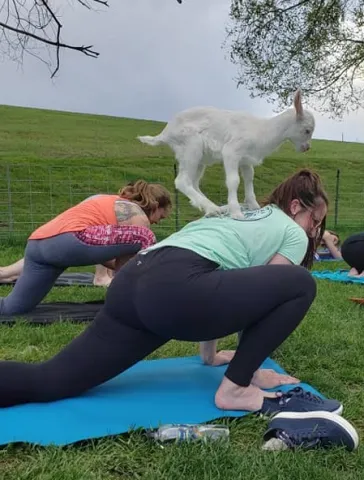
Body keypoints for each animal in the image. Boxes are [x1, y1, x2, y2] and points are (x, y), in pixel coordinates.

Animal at [138, 88, 314, 219]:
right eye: (307, 130)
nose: (306, 148)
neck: (261, 130)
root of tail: (165, 132)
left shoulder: (246, 159)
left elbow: (249, 178)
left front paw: (254, 205)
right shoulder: (232, 151)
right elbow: (233, 180)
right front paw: (236, 212)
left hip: (198, 158)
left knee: (193, 182)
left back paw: (213, 208)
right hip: (190, 146)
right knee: (182, 181)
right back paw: (213, 208)